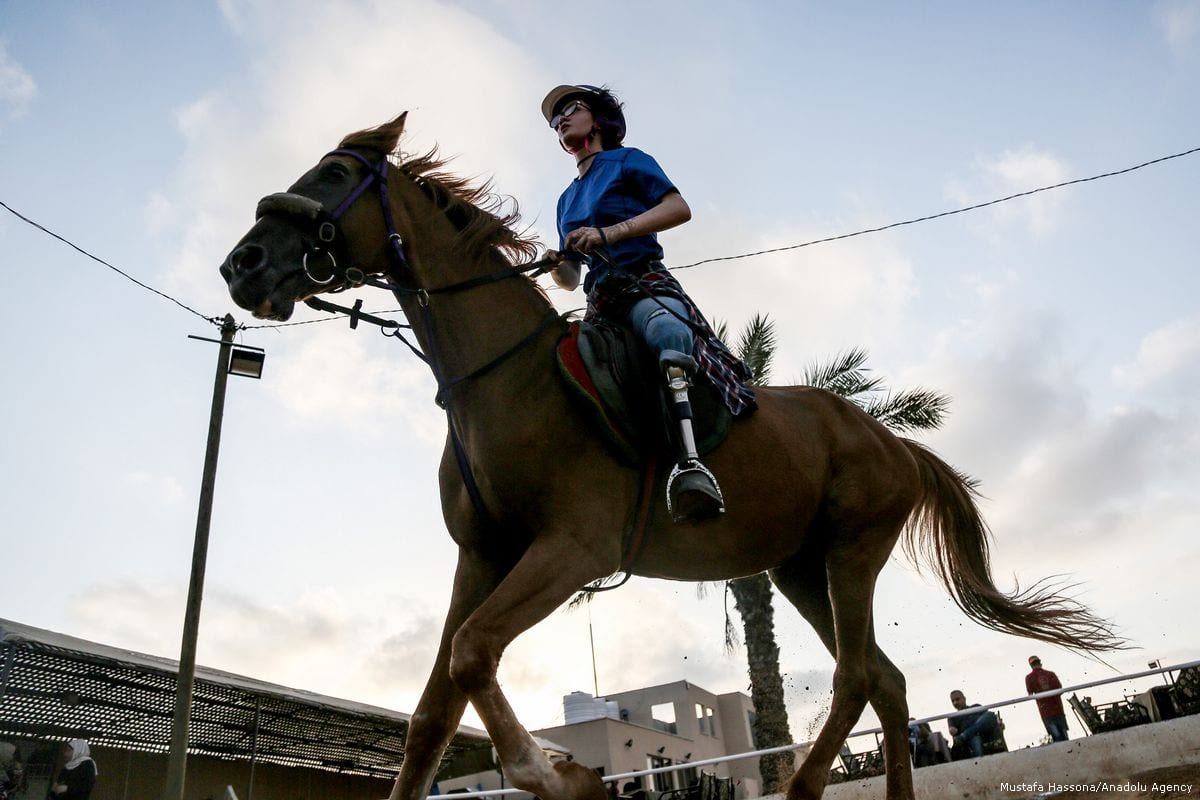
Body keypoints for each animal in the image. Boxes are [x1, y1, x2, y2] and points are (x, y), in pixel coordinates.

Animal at [218, 113, 1123, 800]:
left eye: (336, 171)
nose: (242, 263)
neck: (503, 376)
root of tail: (889, 436)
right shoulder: (482, 558)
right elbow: (433, 713)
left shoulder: (572, 548)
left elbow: (474, 653)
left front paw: (558, 773)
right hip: (800, 569)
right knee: (885, 680)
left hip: (852, 549)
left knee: (857, 678)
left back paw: (800, 787)